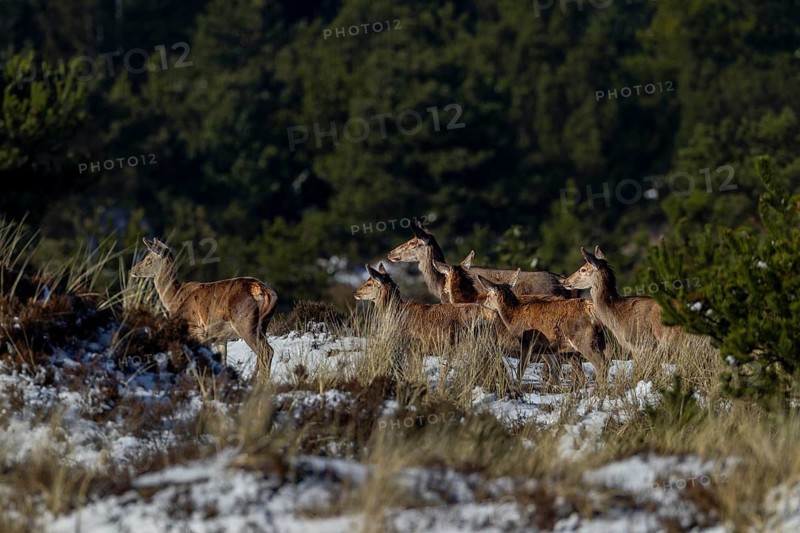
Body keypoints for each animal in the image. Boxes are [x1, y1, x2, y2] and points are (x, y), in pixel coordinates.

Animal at [130, 238, 278, 383]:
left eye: (148, 259)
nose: (132, 270)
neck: (174, 298)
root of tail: (265, 291)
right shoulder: (220, 338)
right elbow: (222, 363)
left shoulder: (197, 330)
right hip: (263, 324)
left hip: (245, 323)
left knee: (266, 352)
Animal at [476, 270, 607, 386]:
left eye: (488, 296)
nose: (483, 307)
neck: (513, 316)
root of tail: (591, 308)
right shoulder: (546, 347)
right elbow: (553, 370)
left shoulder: (527, 341)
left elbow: (521, 368)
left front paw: (517, 385)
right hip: (592, 341)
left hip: (583, 339)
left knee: (600, 364)